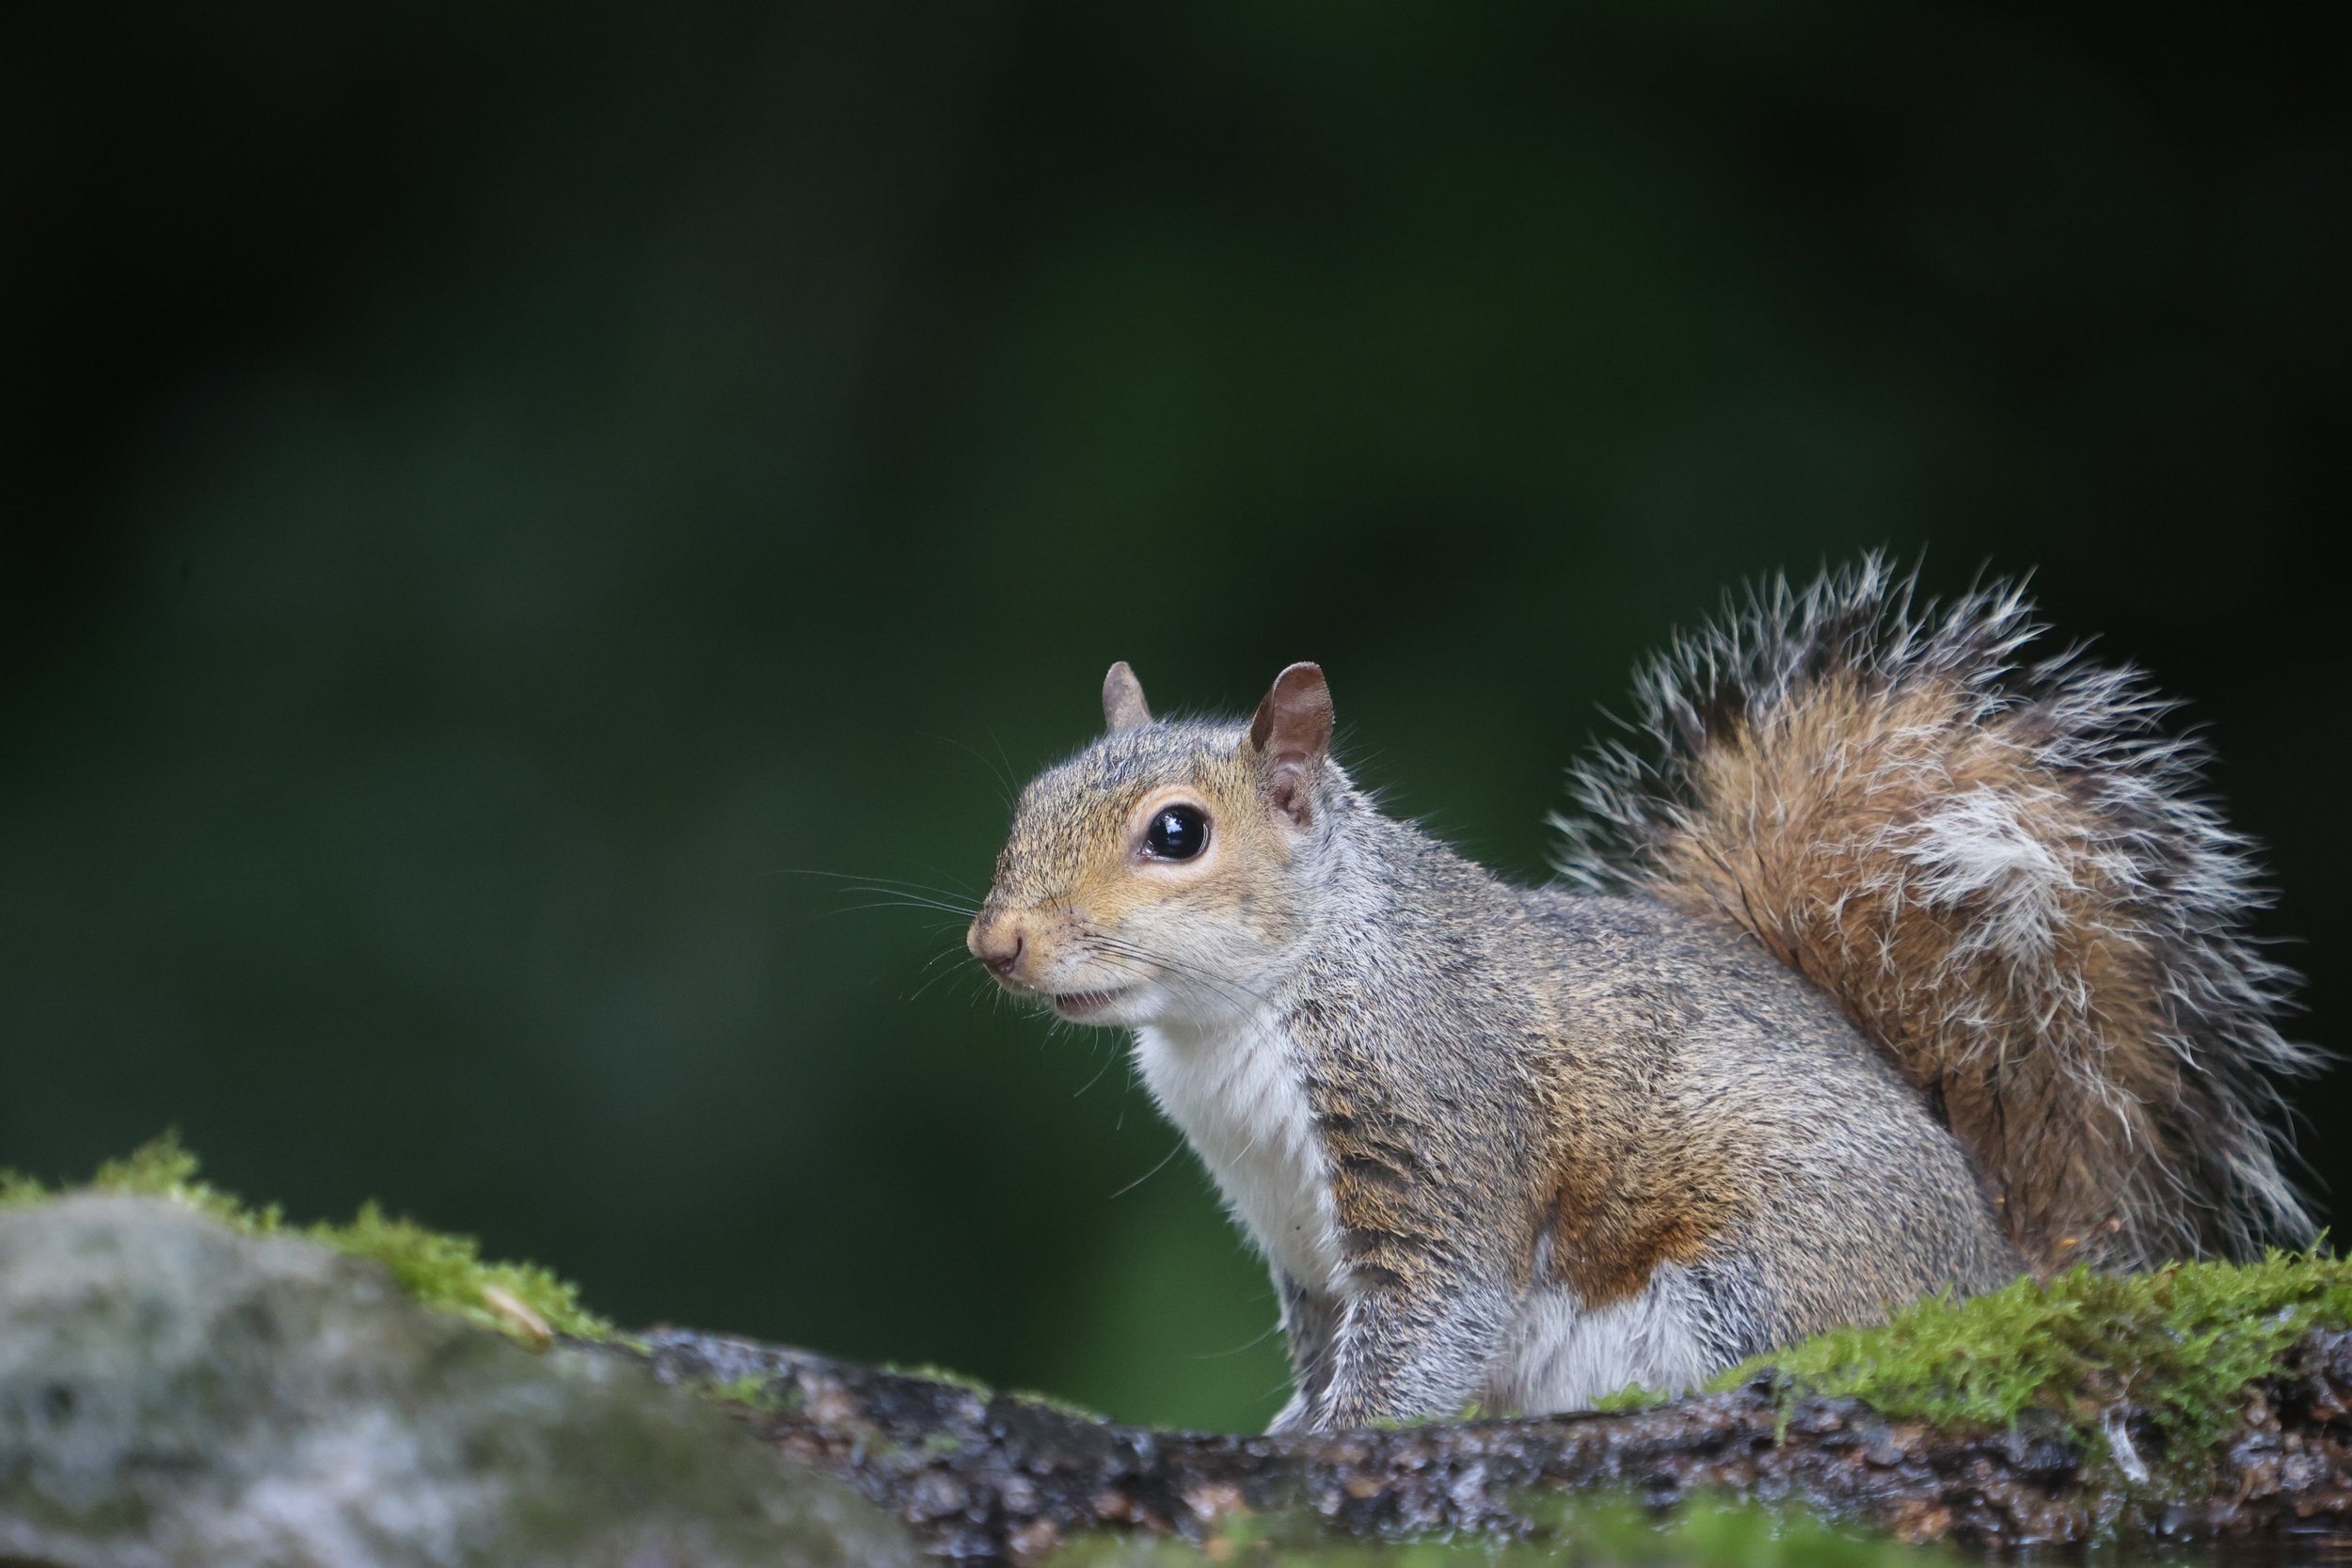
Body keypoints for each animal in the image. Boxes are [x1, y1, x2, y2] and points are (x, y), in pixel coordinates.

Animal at [965, 558, 2321, 1432]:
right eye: (1029, 797)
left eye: (1177, 833)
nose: (995, 941)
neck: (1240, 1014)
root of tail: (1996, 1269)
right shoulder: (1296, 1235)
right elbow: (1325, 1343)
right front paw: (1298, 1423)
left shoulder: (1435, 1116)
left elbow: (1435, 1320)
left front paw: (1337, 1441)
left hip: (1762, 1269)